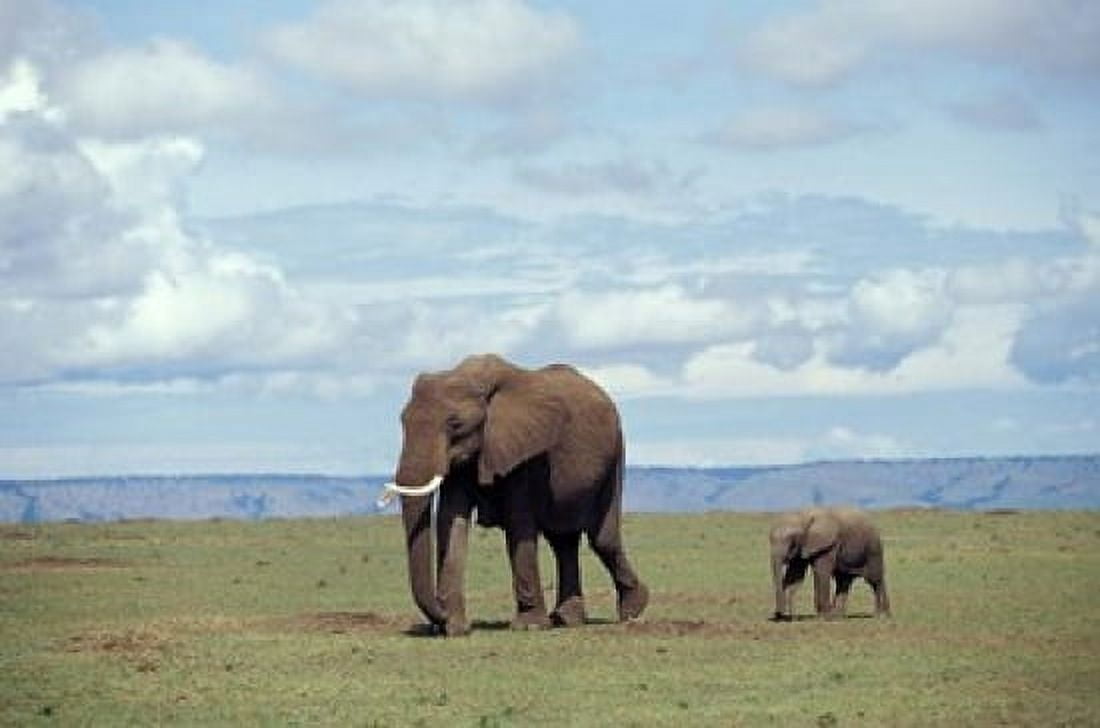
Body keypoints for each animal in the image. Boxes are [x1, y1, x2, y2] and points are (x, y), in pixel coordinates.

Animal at [381, 354, 649, 636]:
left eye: (455, 424)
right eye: (402, 422)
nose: (437, 618)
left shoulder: (524, 452)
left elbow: (518, 523)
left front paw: (530, 626)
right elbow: (451, 521)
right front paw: (454, 628)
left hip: (615, 455)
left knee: (602, 539)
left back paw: (632, 611)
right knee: (563, 541)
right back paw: (566, 619)